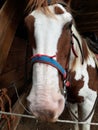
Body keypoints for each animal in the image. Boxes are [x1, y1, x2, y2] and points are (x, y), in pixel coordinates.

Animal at [24, 1, 98, 130]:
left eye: (69, 24)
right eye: (27, 25)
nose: (43, 107)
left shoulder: (89, 103)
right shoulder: (72, 102)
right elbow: (75, 123)